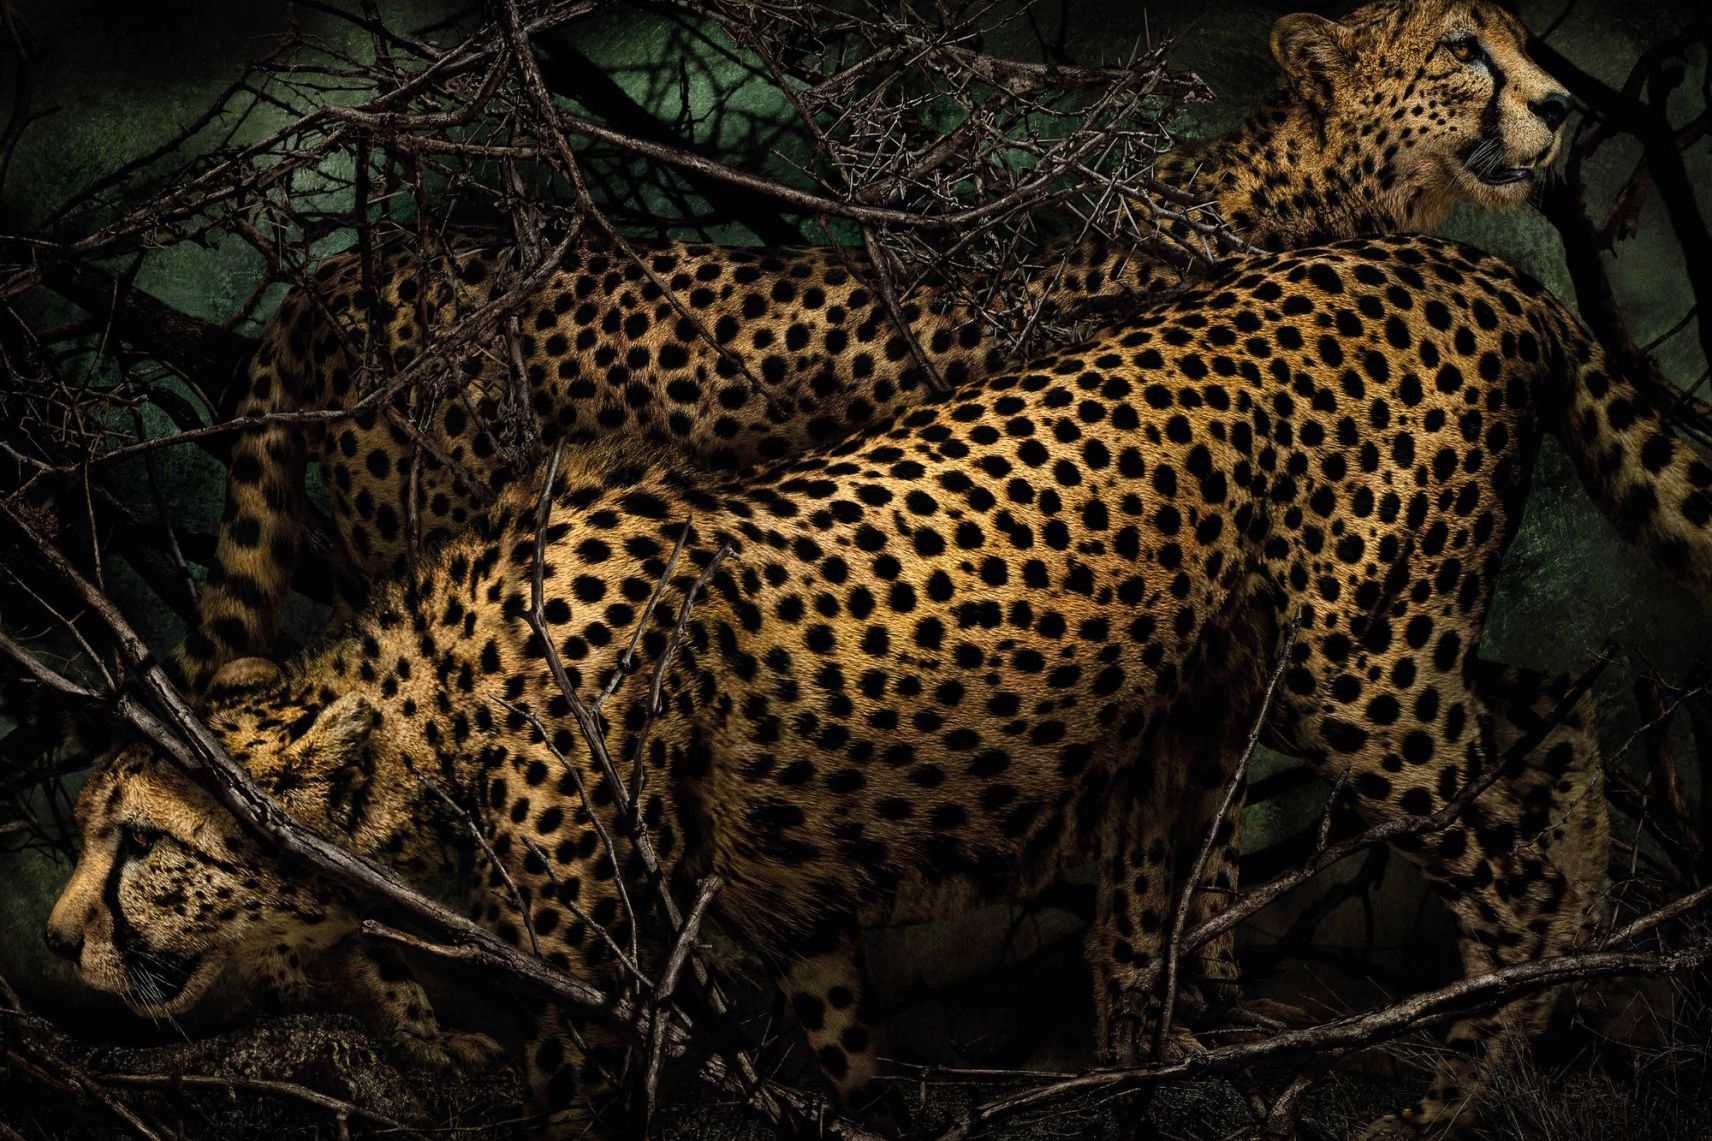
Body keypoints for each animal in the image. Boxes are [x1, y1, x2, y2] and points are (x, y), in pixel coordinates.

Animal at [49, 236, 1712, 1139]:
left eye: (141, 846)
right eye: (87, 833)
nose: (57, 935)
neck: (427, 702)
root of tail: (1477, 265)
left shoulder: (603, 963)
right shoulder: (787, 912)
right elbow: (845, 1049)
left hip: (1361, 662)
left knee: (1501, 854)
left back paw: (1479, 1076)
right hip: (1274, 680)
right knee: (1544, 725)